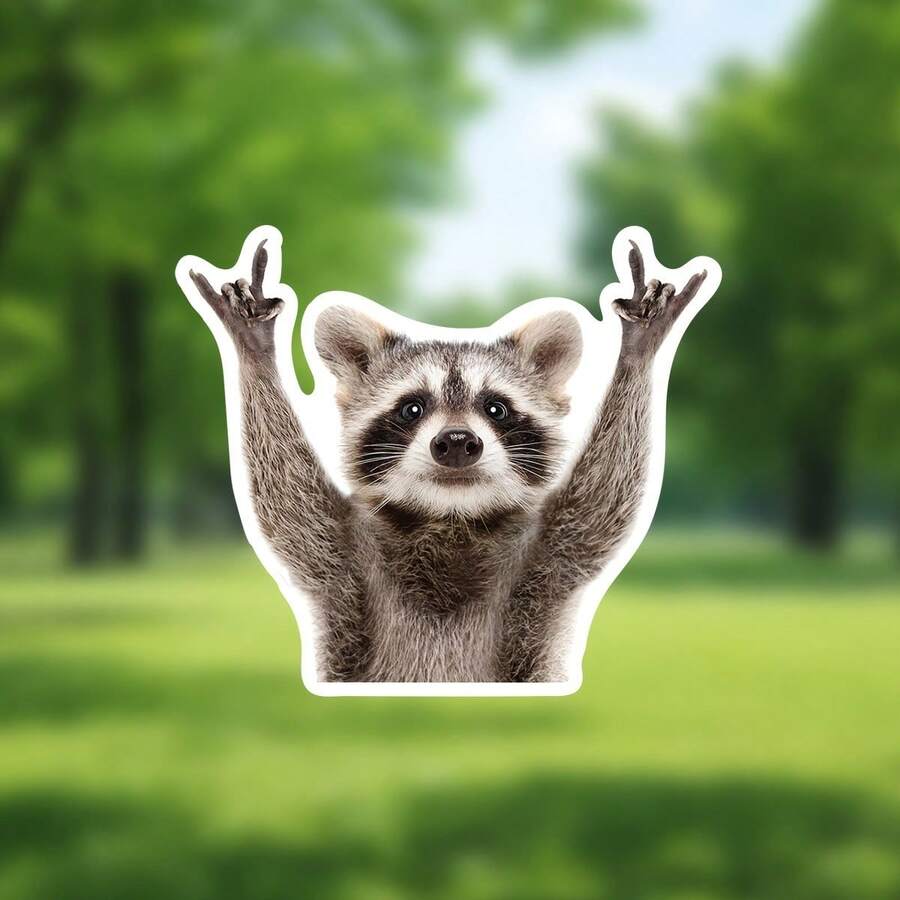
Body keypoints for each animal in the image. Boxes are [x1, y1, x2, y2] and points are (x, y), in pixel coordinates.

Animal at [186, 234, 710, 683]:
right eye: (412, 408)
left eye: (496, 408)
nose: (457, 442)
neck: (450, 518)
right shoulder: (344, 556)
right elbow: (289, 502)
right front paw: (254, 349)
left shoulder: (547, 556)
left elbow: (602, 502)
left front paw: (638, 349)